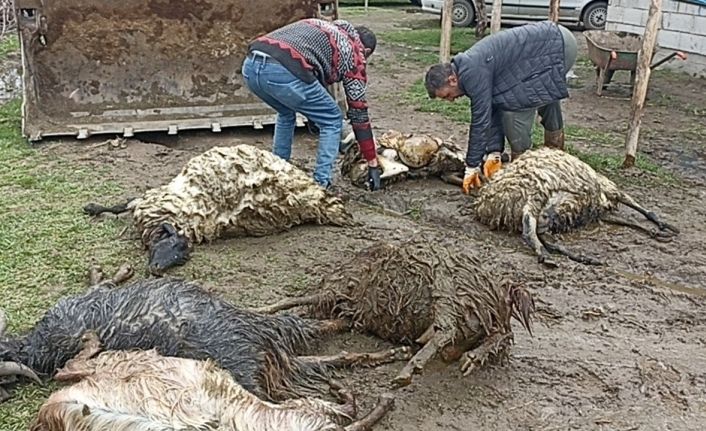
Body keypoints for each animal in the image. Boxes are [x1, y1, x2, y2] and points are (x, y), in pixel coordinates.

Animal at [0, 264, 408, 404]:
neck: (33, 345)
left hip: (260, 335)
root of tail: (264, 351)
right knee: (324, 357)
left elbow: (101, 284)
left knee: (315, 336)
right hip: (257, 359)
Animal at [84, 143, 352, 276]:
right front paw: (92, 208)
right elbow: (122, 204)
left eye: (182, 257)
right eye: (170, 244)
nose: (157, 271)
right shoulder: (148, 201)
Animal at [250, 236, 532, 388]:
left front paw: (260, 308)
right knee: (500, 336)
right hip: (480, 314)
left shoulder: (340, 290)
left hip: (446, 289)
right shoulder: (351, 313)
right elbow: (325, 322)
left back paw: (408, 371)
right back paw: (468, 358)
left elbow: (294, 298)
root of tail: (502, 291)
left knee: (448, 328)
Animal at [468, 145, 676, 266]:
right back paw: (548, 257)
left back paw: (583, 258)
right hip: (535, 194)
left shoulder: (598, 209)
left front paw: (657, 231)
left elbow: (628, 220)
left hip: (543, 209)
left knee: (543, 235)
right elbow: (635, 205)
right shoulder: (607, 191)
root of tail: (485, 205)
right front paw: (662, 226)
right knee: (529, 230)